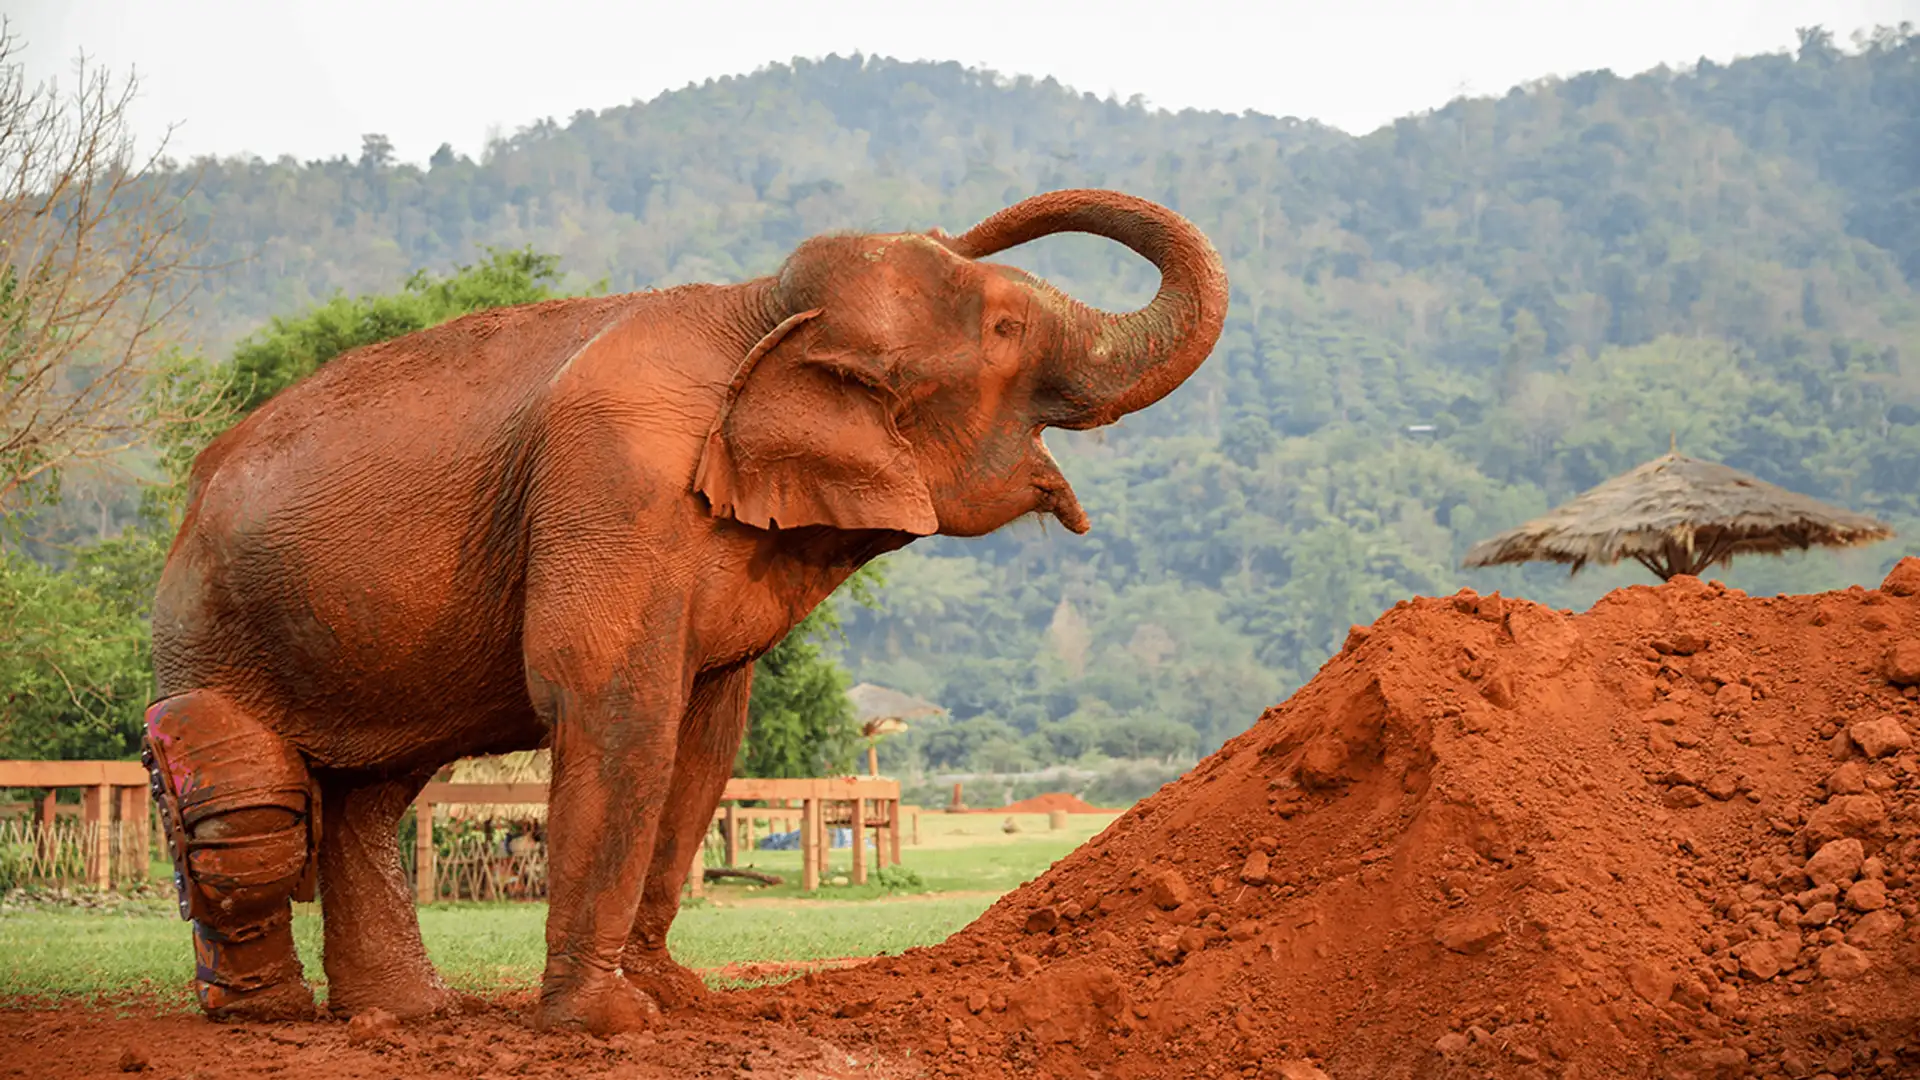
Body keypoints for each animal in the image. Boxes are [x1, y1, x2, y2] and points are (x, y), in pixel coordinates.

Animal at [141, 188, 1228, 1036]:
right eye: (1005, 331)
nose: (962, 221)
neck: (753, 307)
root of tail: (193, 487)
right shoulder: (612, 481)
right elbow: (613, 706)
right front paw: (607, 1022)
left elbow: (706, 731)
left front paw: (678, 998)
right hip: (203, 620)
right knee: (246, 804)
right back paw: (265, 1015)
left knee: (370, 795)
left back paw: (406, 1016)